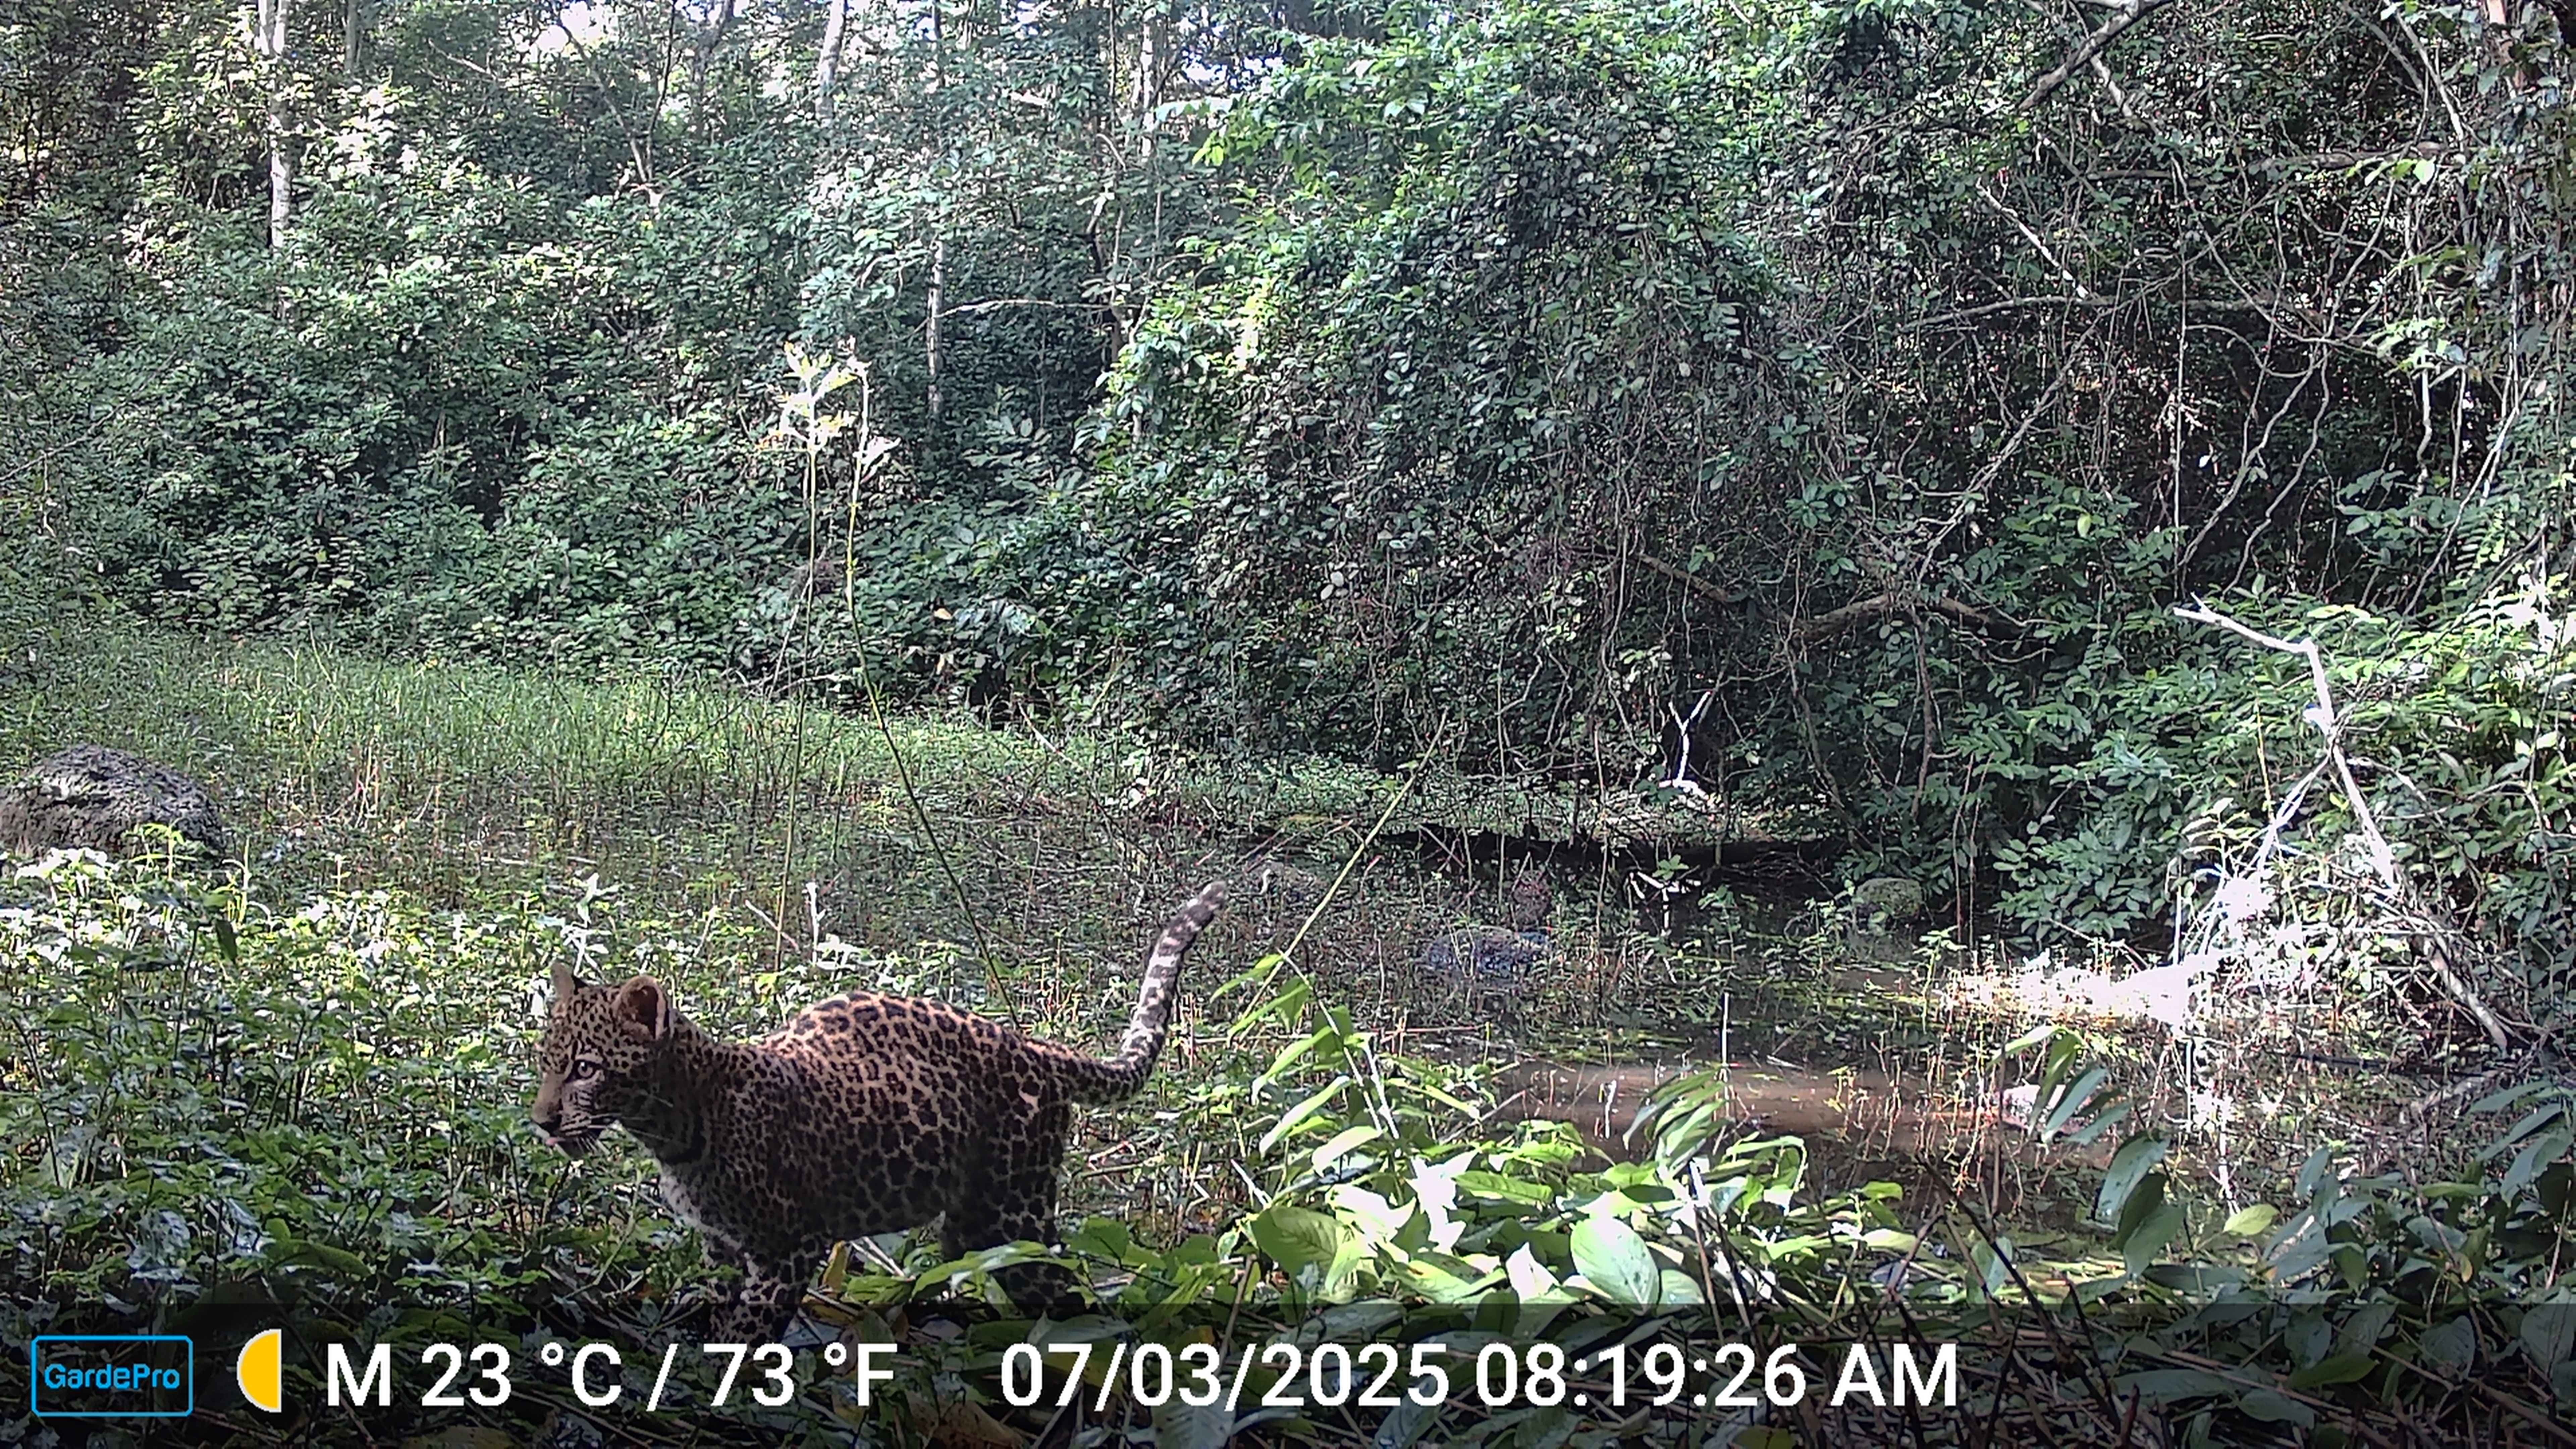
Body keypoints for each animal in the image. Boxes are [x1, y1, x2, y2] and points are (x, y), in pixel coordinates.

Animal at [531, 880, 1225, 1339]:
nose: (542, 1121)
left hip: (1016, 1214)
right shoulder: (721, 1248)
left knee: (1069, 1293)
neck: (676, 1127)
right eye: (547, 1060)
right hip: (971, 1225)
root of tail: (1035, 1047)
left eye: (587, 1069)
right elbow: (716, 1302)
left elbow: (746, 1335)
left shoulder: (788, 1250)